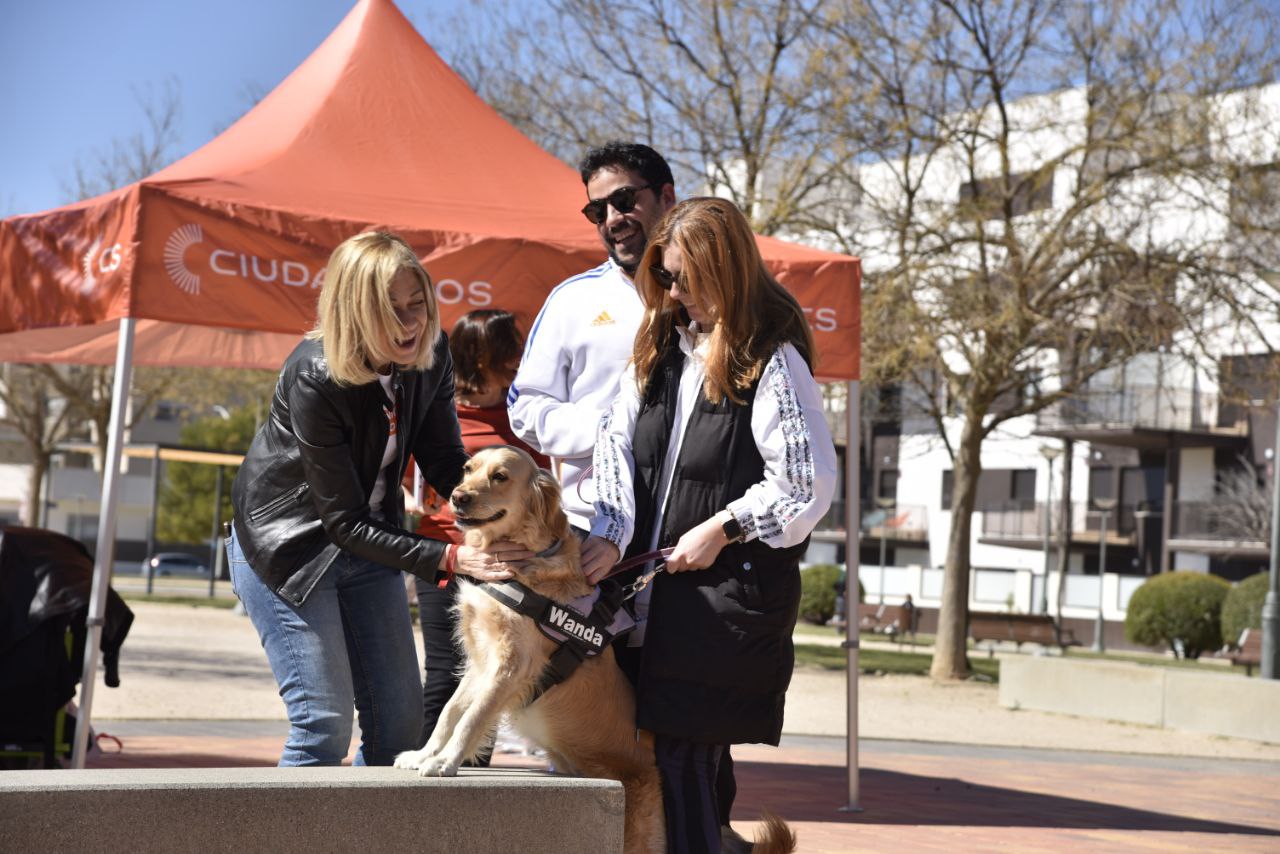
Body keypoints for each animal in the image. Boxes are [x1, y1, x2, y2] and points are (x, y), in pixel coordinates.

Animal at [391, 448, 788, 854]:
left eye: (500, 476)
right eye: (468, 470)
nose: (458, 497)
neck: (521, 561)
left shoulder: (512, 664)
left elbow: (472, 717)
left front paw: (444, 763)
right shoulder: (480, 661)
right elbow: (450, 712)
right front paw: (424, 754)